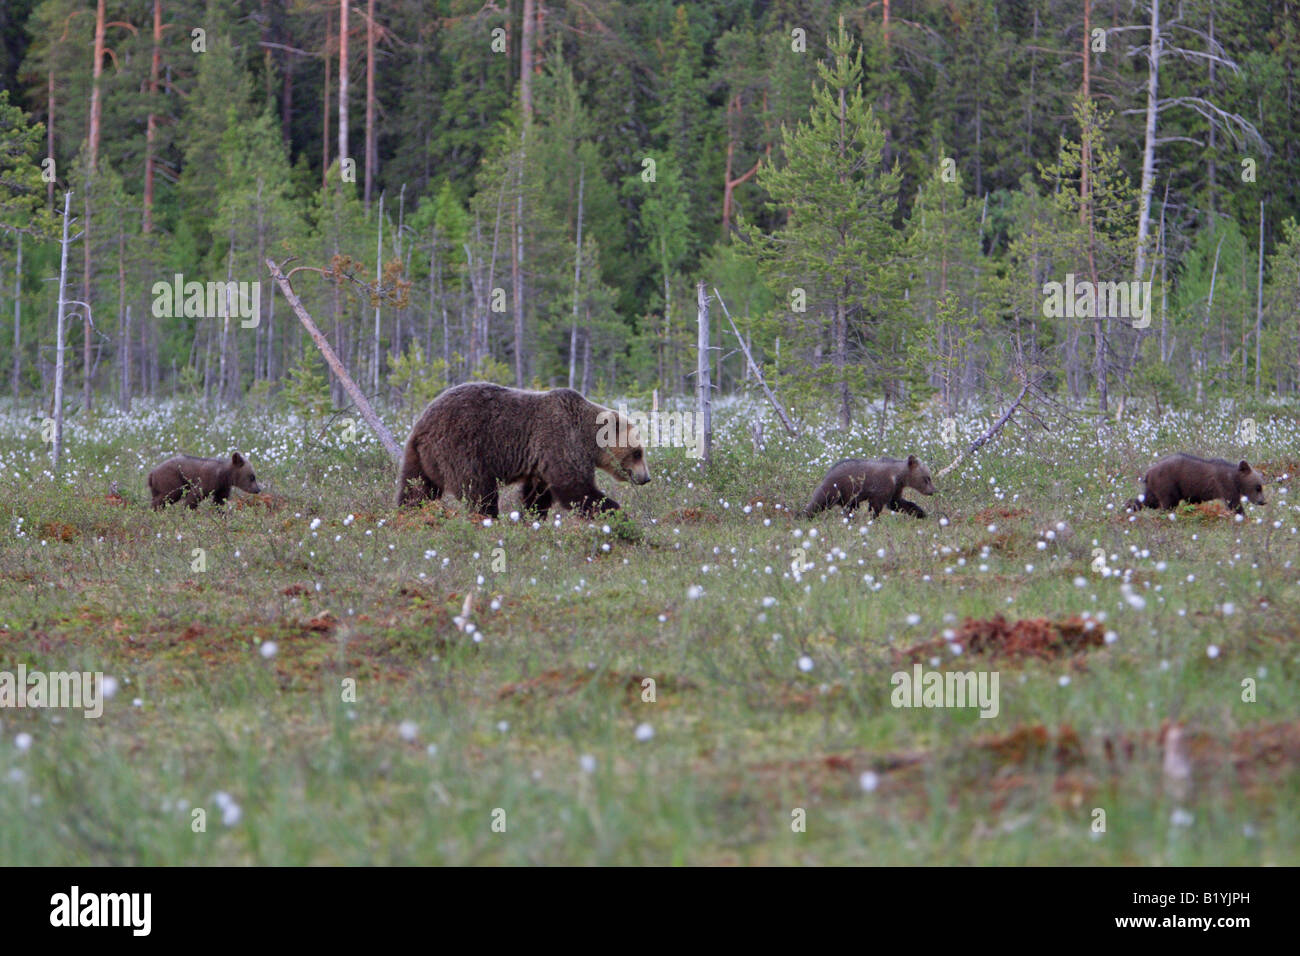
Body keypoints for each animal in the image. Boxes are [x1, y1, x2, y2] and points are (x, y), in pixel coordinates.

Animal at [387, 382, 647, 520]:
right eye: (638, 452)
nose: (646, 477)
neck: (587, 438)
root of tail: (423, 425)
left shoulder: (541, 461)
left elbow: (538, 494)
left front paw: (531, 517)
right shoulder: (560, 441)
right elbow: (575, 487)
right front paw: (616, 512)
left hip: (419, 456)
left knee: (416, 488)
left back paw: (407, 514)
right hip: (463, 448)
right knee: (479, 491)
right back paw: (489, 518)